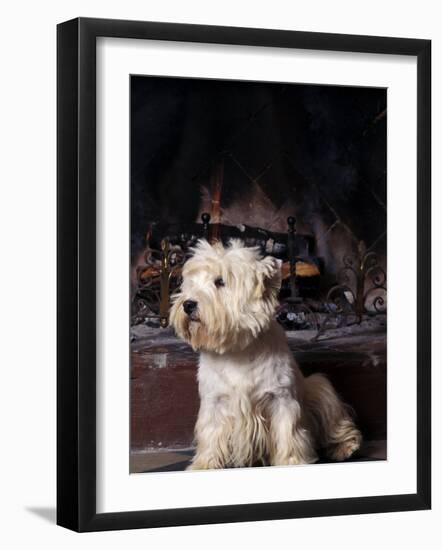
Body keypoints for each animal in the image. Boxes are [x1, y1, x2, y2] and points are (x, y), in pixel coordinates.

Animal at [170, 239, 362, 472]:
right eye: (190, 282)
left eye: (220, 281)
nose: (187, 304)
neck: (237, 349)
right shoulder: (214, 401)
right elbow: (211, 433)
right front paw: (204, 464)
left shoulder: (281, 399)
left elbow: (288, 433)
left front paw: (291, 462)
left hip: (318, 389)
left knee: (335, 420)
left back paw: (346, 447)